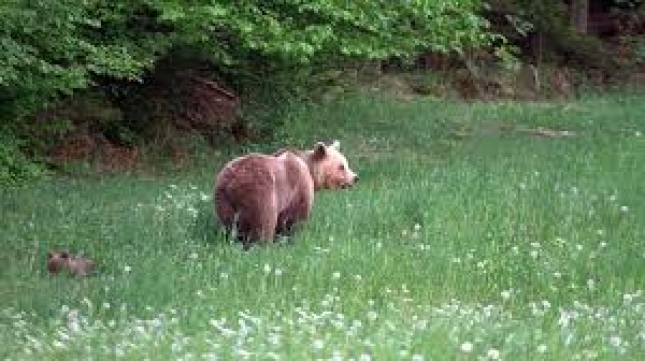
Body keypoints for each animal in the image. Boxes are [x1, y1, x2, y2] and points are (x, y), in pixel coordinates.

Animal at [215, 139, 358, 246]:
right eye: (341, 166)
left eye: (346, 163)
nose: (355, 178)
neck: (310, 169)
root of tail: (233, 181)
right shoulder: (299, 188)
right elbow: (296, 217)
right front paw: (294, 236)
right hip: (260, 193)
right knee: (263, 222)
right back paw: (262, 244)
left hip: (223, 199)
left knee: (228, 224)